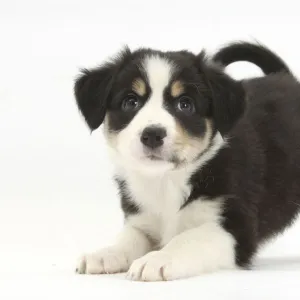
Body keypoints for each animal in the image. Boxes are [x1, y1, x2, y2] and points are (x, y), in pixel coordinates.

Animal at [72, 42, 300, 282]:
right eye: (130, 102)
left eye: (185, 104)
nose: (152, 134)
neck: (166, 181)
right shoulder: (142, 219)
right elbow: (128, 238)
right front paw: (104, 254)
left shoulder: (235, 228)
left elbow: (187, 238)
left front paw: (156, 259)